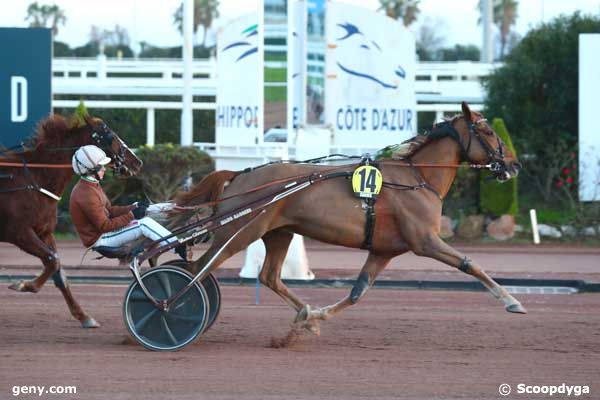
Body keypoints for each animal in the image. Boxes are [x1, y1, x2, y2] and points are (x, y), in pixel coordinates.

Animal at [0, 112, 142, 328]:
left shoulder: (44, 231)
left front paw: (83, 316)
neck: (34, 179)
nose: (137, 162)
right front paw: (25, 285)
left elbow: (58, 270)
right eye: (110, 135)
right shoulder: (18, 233)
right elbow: (52, 260)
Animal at [176, 101, 524, 332]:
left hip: (279, 232)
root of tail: (239, 174)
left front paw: (318, 316)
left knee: (268, 276)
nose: (514, 164)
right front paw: (512, 301)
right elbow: (471, 264)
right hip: (239, 232)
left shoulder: (383, 250)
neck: (418, 178)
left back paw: (304, 312)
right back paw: (175, 307)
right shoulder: (425, 241)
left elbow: (358, 293)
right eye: (488, 131)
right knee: (196, 269)